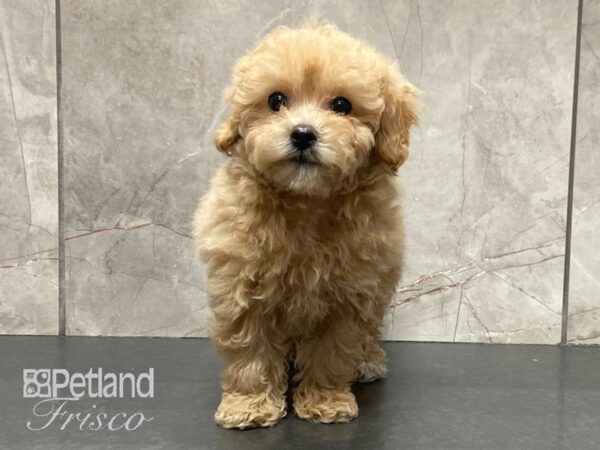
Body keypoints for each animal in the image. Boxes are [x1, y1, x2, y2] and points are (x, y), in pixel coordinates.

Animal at [193, 22, 418, 428]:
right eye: (276, 100)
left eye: (341, 105)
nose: (302, 133)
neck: (306, 201)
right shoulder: (241, 287)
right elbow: (249, 351)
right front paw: (248, 406)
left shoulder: (351, 296)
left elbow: (333, 351)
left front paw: (325, 401)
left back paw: (368, 361)